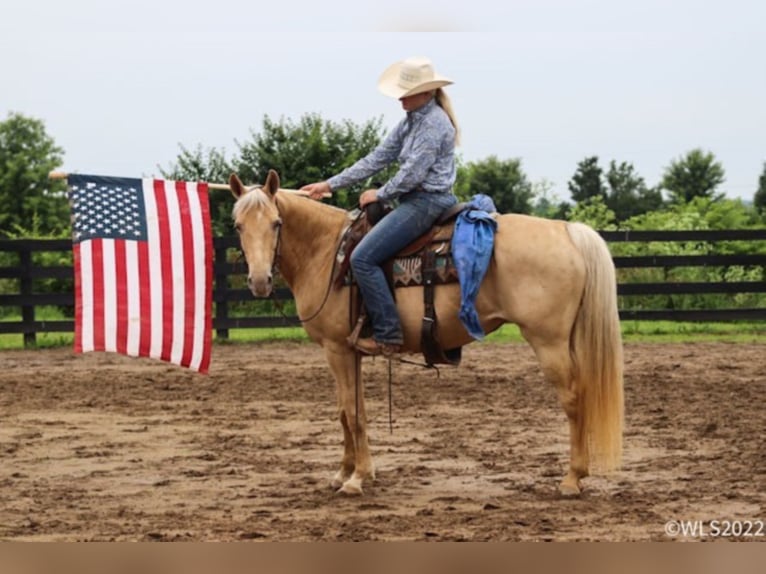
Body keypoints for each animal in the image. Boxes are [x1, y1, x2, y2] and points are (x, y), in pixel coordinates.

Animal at [231, 169, 628, 498]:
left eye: (276, 223)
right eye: (238, 225)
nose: (259, 281)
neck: (328, 253)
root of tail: (566, 230)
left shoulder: (336, 350)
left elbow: (352, 413)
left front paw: (355, 479)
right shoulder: (350, 350)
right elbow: (350, 411)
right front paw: (349, 472)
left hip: (548, 342)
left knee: (574, 399)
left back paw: (572, 479)